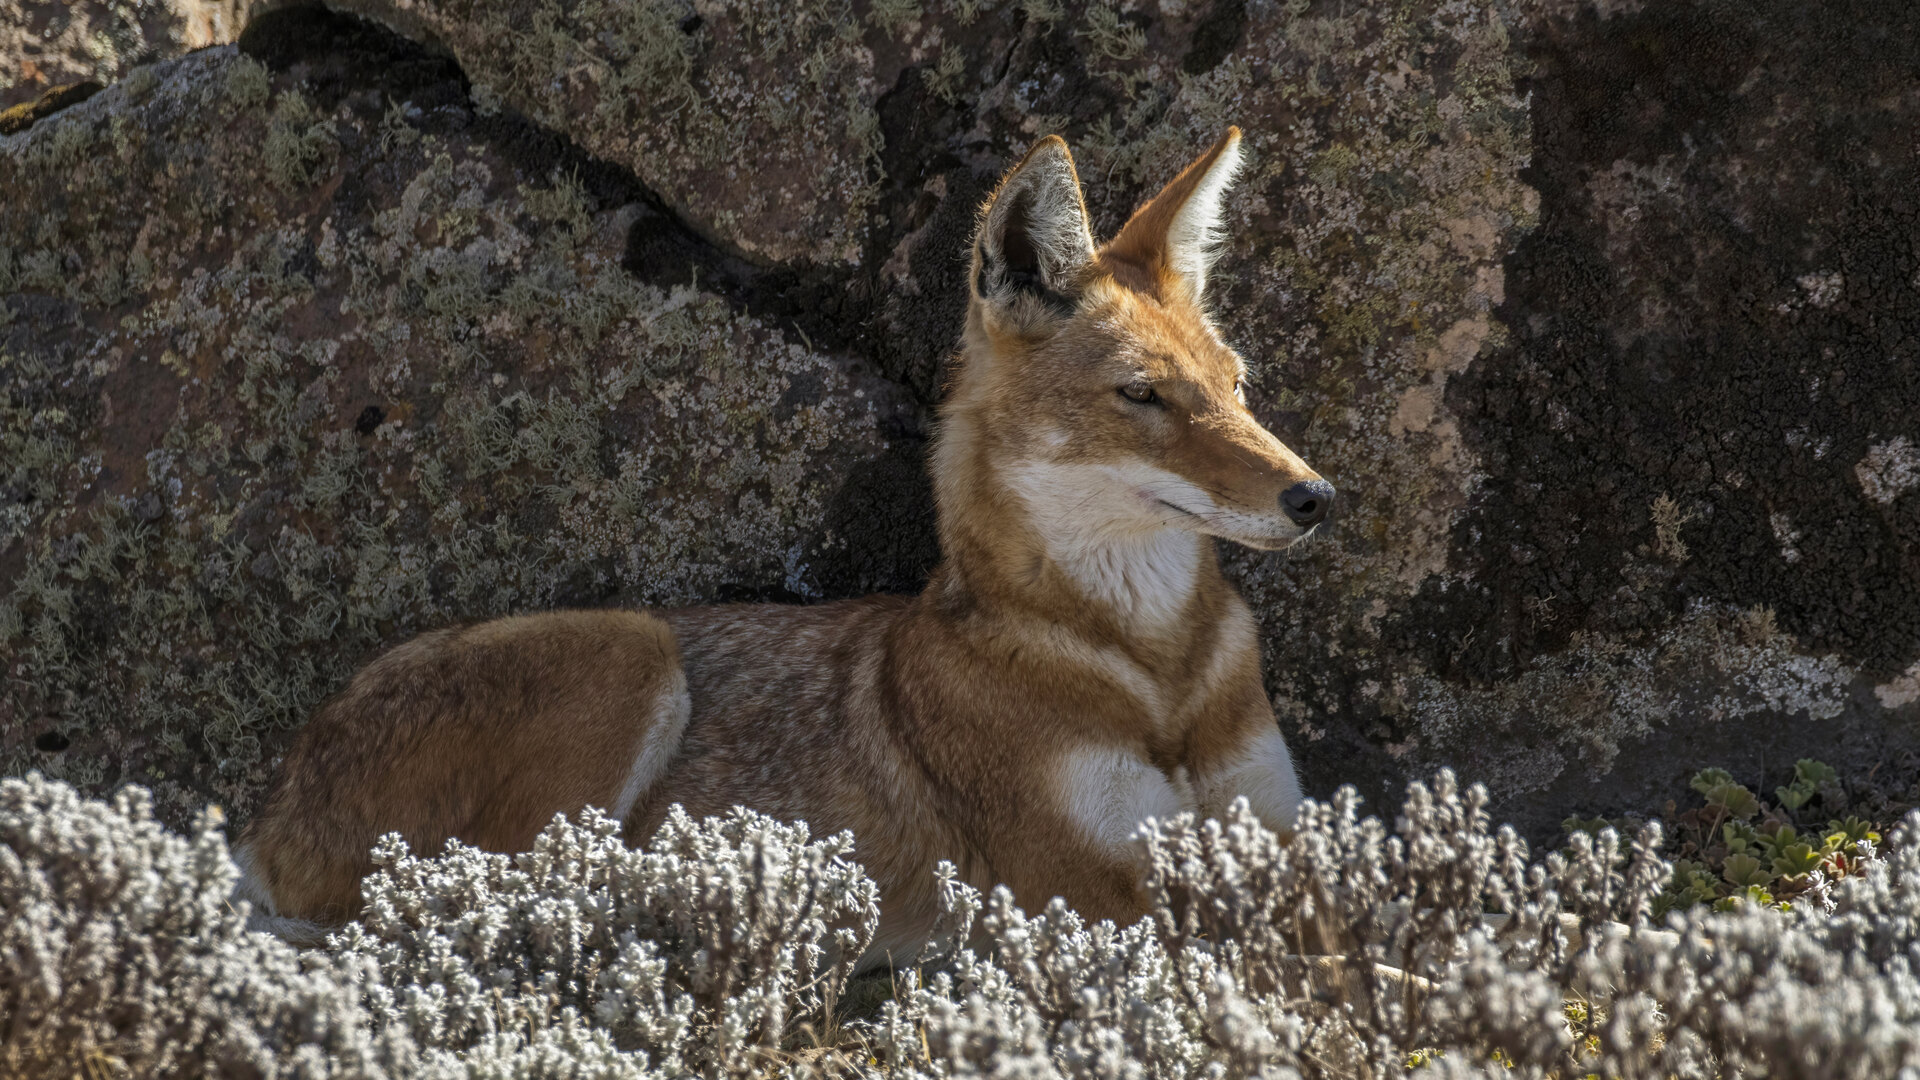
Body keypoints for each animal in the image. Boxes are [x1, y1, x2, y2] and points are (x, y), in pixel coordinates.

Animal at [234, 127, 1333, 960]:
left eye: (1235, 387)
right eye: (1142, 396)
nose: (1315, 496)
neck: (1154, 675)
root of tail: (272, 799)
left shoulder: (1270, 830)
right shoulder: (1089, 888)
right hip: (630, 656)